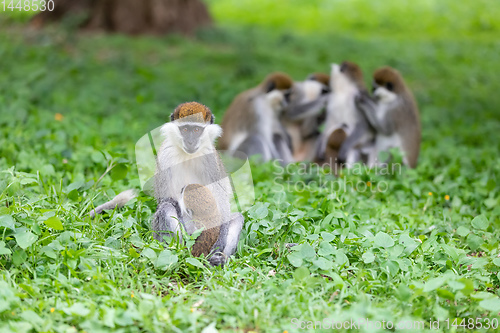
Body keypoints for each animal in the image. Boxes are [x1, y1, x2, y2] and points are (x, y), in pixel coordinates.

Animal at [153, 101, 245, 264]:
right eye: (185, 129)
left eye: (196, 130)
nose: (190, 141)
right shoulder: (165, 155)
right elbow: (164, 199)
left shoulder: (210, 157)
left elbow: (222, 198)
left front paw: (220, 242)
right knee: (165, 208)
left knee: (237, 218)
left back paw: (218, 259)